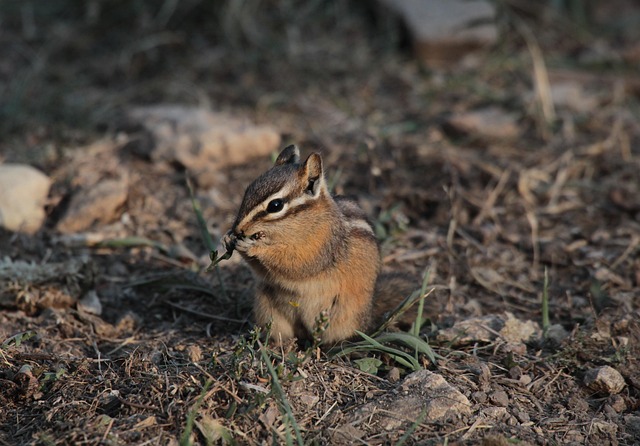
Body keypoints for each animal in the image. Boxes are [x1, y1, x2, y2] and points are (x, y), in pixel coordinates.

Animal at [222, 145, 414, 345]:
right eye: (247, 191)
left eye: (275, 205)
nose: (238, 228)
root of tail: (370, 310)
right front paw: (228, 238)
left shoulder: (321, 245)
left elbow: (295, 262)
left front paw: (252, 247)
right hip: (267, 307)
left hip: (342, 316)